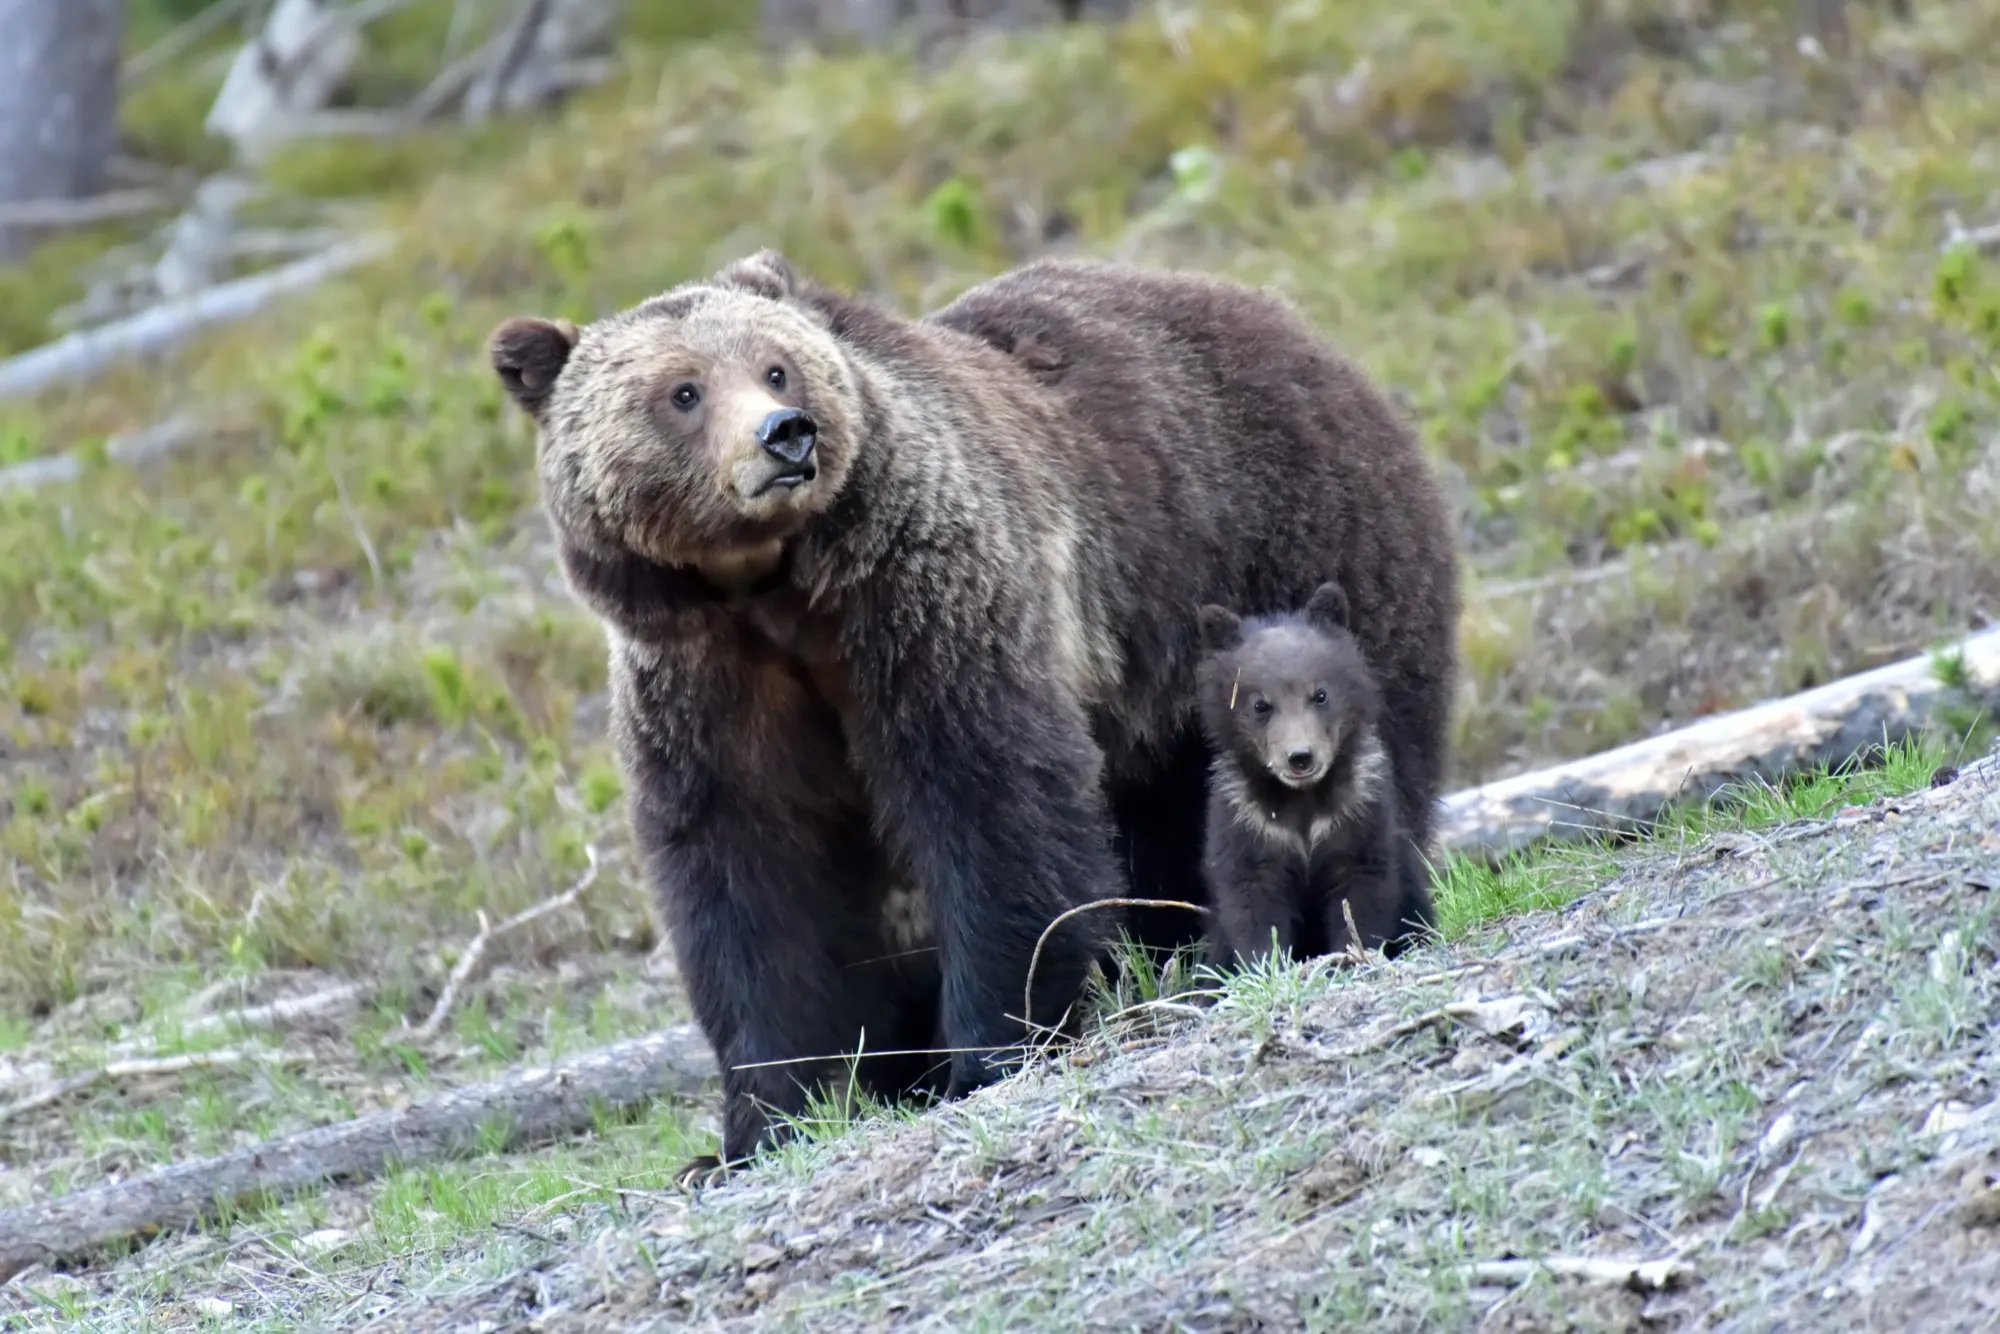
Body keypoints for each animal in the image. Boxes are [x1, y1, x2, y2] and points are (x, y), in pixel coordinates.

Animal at [1194, 580, 1436, 968]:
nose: (1300, 757)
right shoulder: (1248, 825)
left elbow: (1361, 894)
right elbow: (1252, 905)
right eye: (1260, 704)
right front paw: (1267, 962)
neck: (1303, 801)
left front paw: (1350, 954)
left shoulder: (1357, 815)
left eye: (1320, 694)